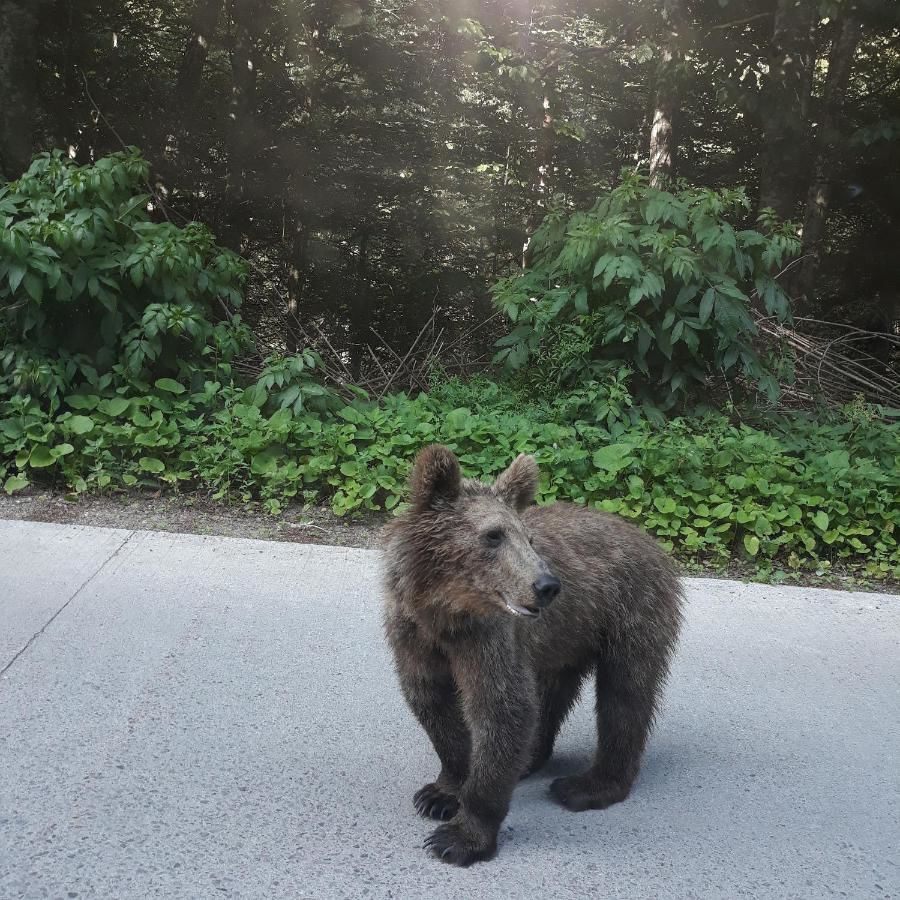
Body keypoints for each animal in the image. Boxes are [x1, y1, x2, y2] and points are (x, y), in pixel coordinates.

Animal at [380, 442, 684, 864]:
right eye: (493, 535)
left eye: (528, 538)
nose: (547, 585)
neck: (445, 612)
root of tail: (651, 541)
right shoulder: (414, 638)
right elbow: (434, 704)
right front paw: (441, 793)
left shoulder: (487, 639)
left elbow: (502, 708)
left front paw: (460, 837)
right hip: (564, 638)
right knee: (551, 693)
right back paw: (529, 760)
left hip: (632, 612)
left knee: (625, 696)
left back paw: (589, 785)